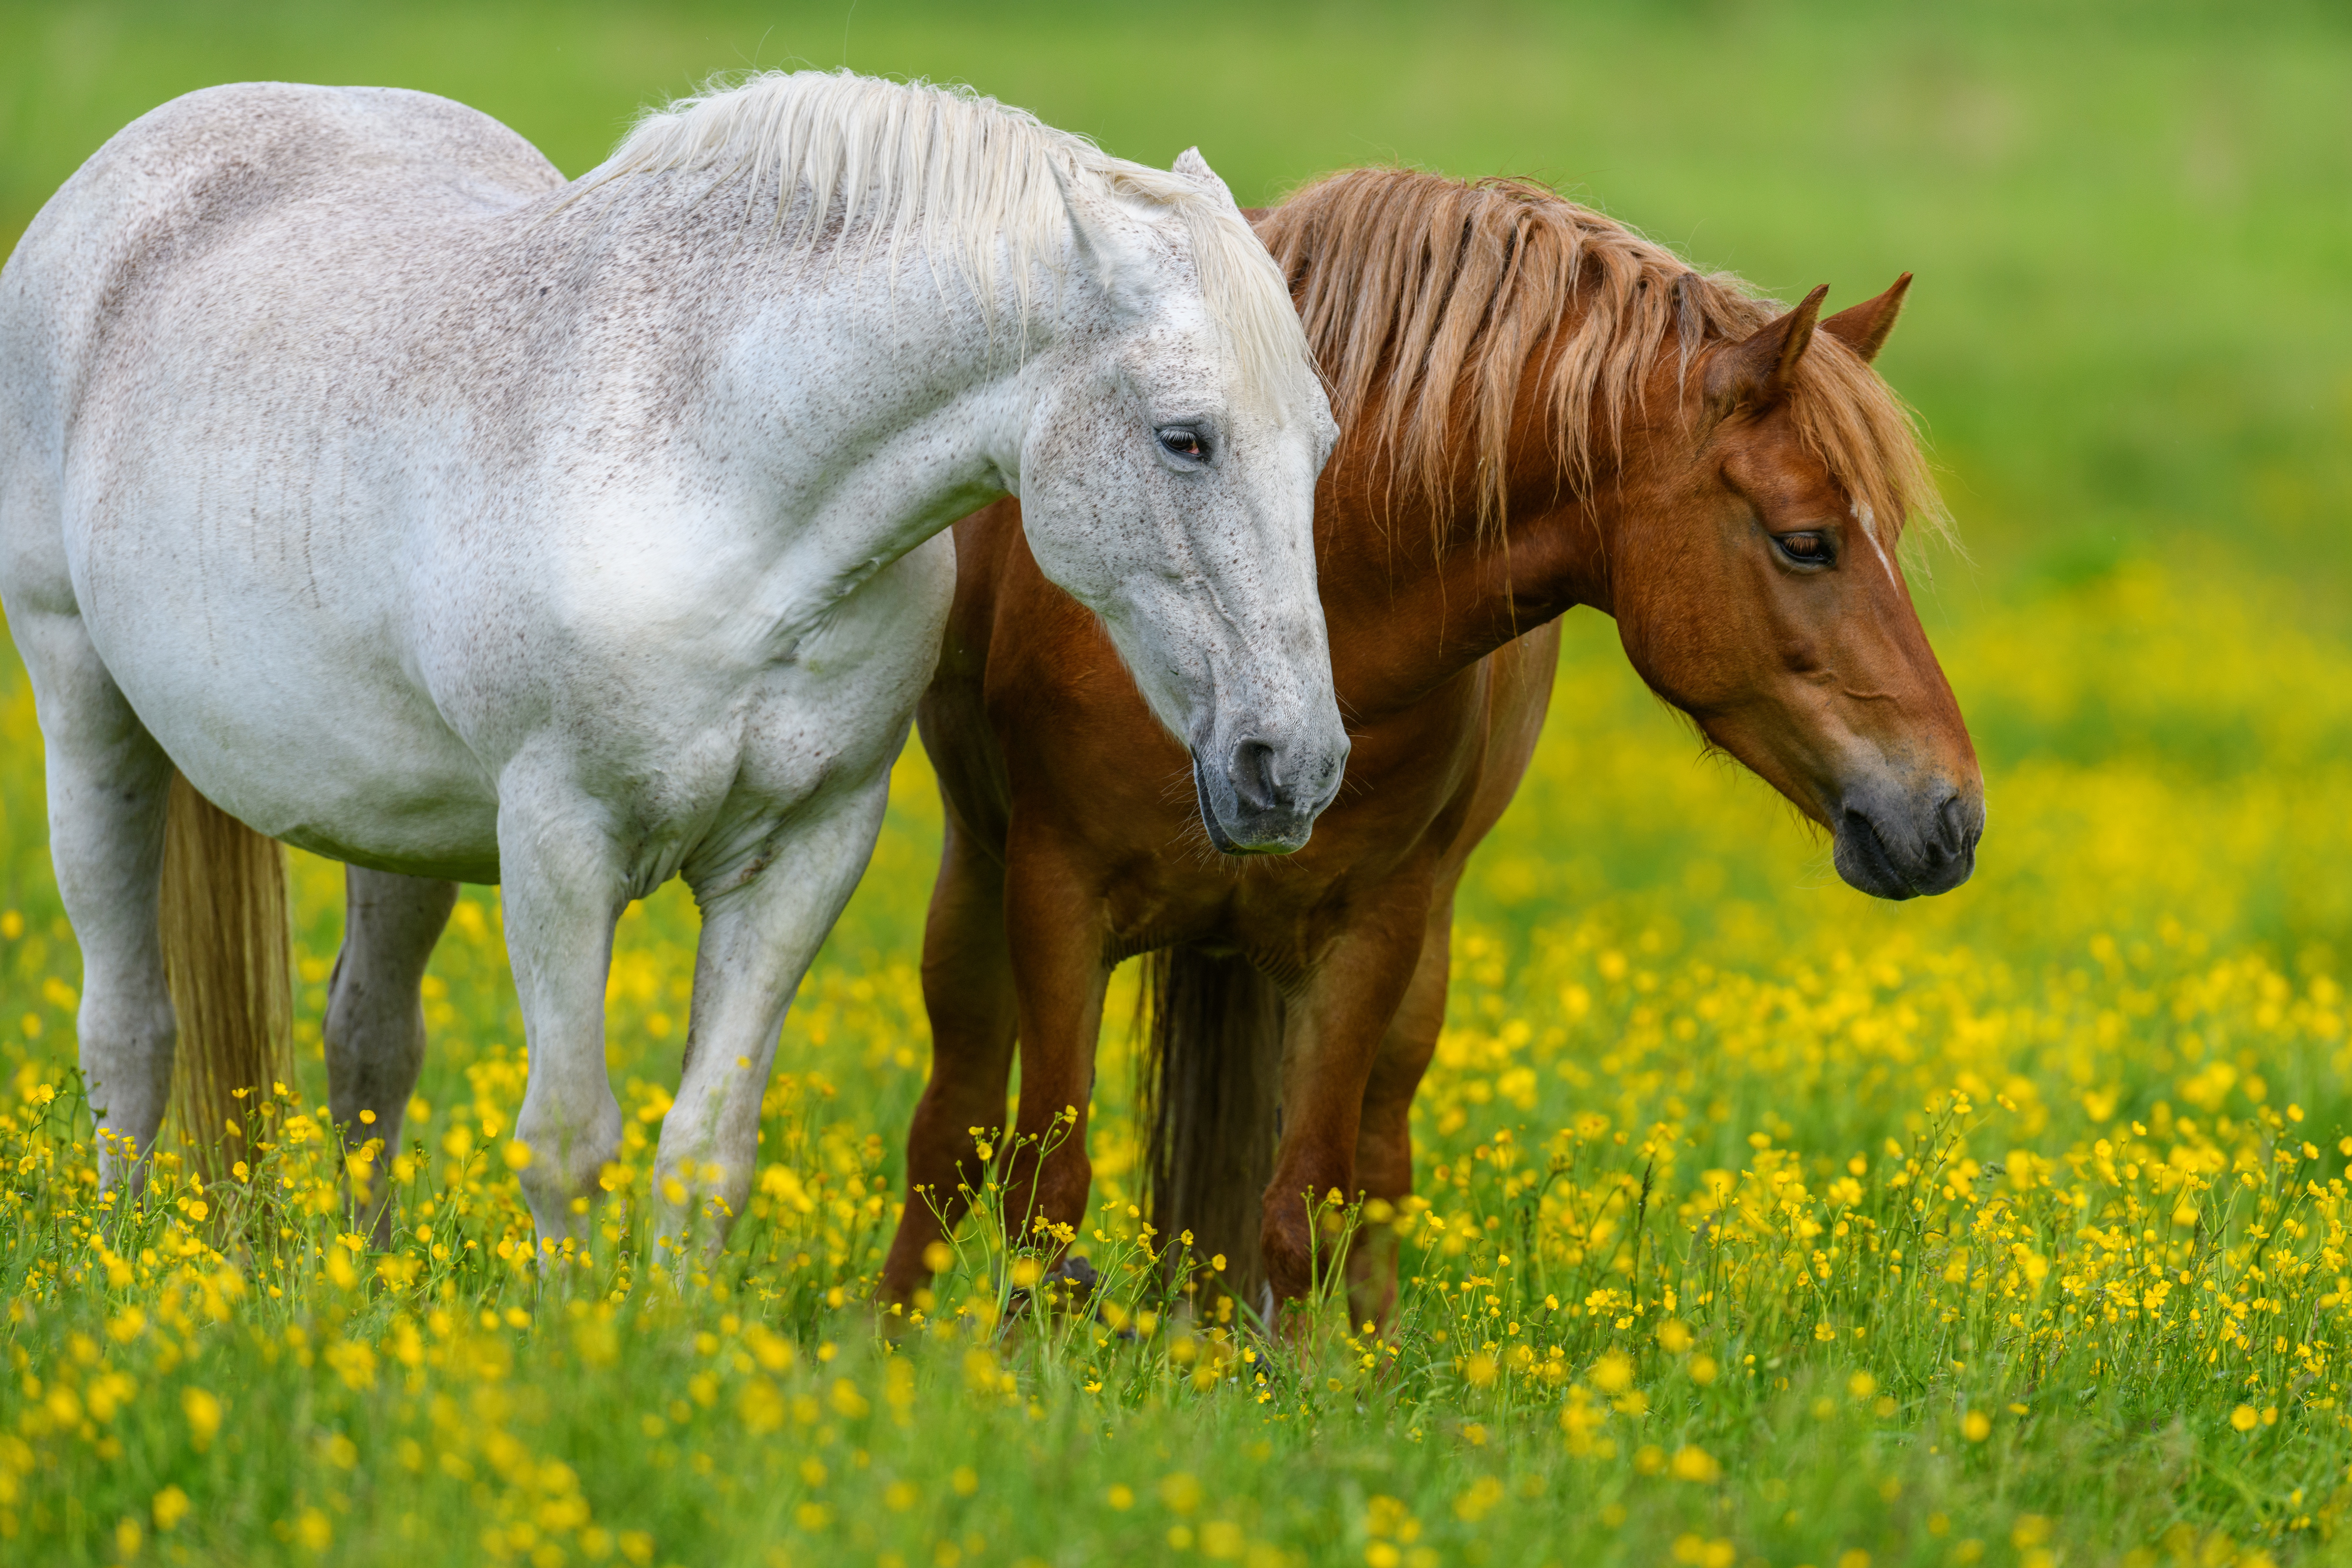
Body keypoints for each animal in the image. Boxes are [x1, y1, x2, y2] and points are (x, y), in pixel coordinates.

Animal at [0, 73, 1345, 1260]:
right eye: (1184, 438)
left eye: (1325, 440)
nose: (1294, 766)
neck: (720, 476)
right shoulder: (559, 840)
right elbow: (567, 1144)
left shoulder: (801, 850)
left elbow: (705, 1156)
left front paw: (670, 1338)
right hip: (89, 719)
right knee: (130, 1032)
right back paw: (127, 1253)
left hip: (397, 821)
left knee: (368, 1044)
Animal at [884, 172, 1985, 1316]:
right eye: (1806, 543)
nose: (1951, 816)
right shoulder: (1058, 898)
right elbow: (1042, 1194)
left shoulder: (1371, 934)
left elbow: (1305, 1212)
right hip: (979, 883)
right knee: (949, 1135)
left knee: (1378, 1170)